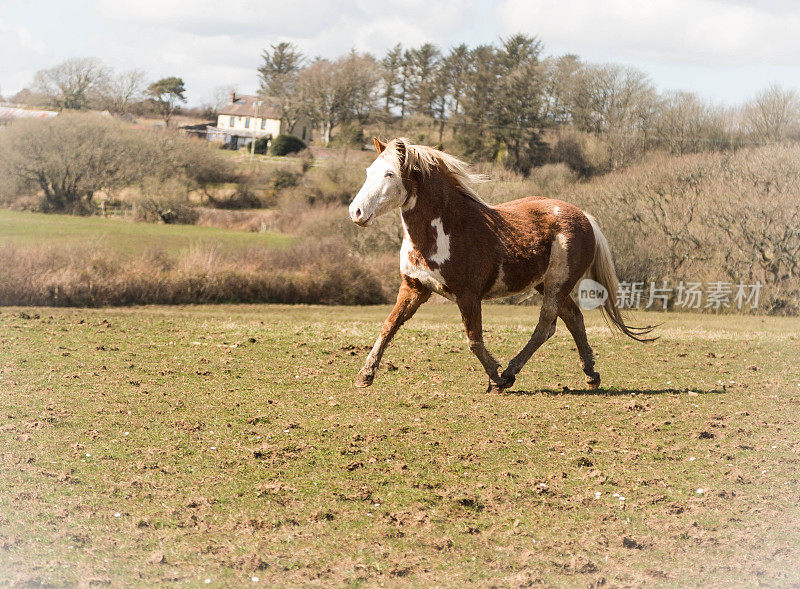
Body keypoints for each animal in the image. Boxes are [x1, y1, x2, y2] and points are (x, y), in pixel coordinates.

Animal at [346, 136, 652, 388]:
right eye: (368, 172)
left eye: (390, 173)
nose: (356, 212)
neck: (446, 230)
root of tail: (584, 216)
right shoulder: (414, 287)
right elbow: (388, 326)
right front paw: (365, 375)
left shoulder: (468, 295)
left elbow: (474, 340)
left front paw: (495, 377)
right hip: (546, 284)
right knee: (573, 318)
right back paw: (590, 374)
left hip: (558, 283)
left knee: (546, 325)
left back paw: (511, 373)